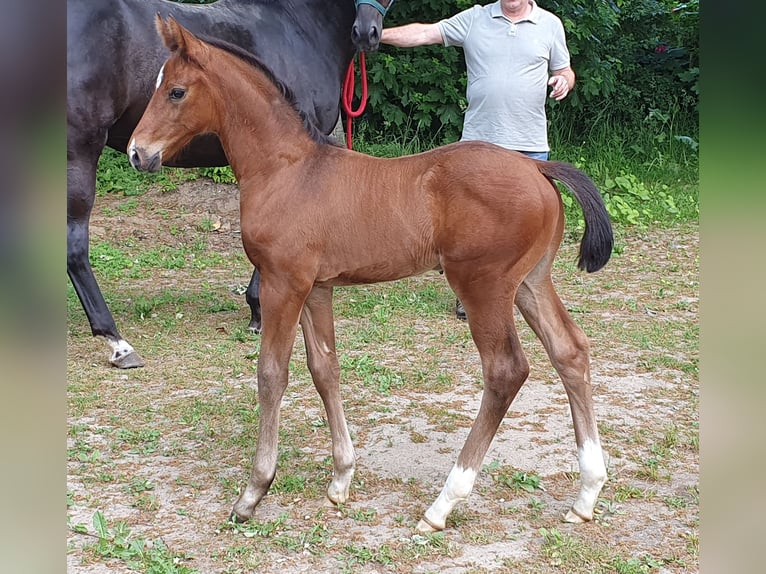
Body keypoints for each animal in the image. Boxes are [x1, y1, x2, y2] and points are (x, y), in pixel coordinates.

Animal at [67, 0, 358, 368]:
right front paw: (259, 309)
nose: (368, 31)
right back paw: (117, 341)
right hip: (79, 150)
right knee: (74, 246)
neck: (301, 25)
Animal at [129, 18, 616, 536]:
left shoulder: (282, 284)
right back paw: (587, 493)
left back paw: (443, 504)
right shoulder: (316, 287)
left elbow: (271, 374)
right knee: (570, 351)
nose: (137, 152)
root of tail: (537, 165)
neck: (287, 170)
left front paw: (253, 492)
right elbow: (325, 369)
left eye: (176, 91)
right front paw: (341, 479)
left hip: (483, 286)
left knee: (506, 371)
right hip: (530, 282)